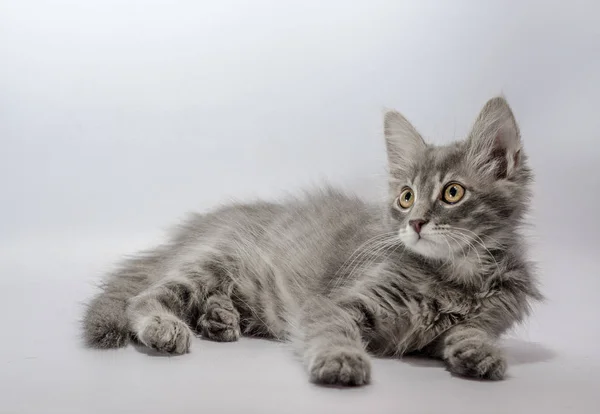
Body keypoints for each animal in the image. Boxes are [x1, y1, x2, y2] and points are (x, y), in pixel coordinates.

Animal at [83, 97, 540, 384]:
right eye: (406, 197)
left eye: (452, 193)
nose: (415, 223)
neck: (456, 276)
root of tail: (203, 225)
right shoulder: (337, 302)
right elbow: (332, 329)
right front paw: (342, 360)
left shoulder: (483, 318)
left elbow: (471, 333)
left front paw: (480, 354)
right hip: (215, 260)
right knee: (142, 297)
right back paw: (166, 326)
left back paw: (219, 318)